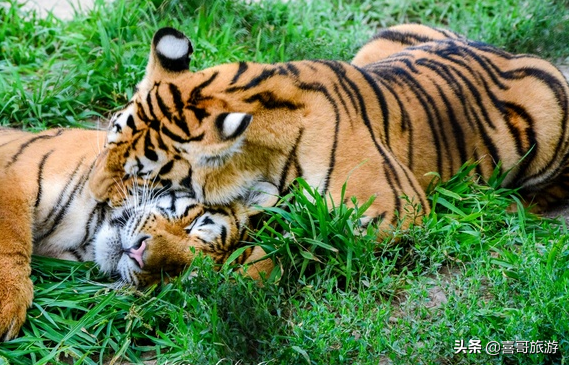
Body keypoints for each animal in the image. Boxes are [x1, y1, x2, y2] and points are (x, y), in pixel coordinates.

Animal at [0, 127, 276, 338]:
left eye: (176, 275)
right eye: (193, 225)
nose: (138, 255)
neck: (90, 230)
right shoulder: (15, 179)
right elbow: (10, 235)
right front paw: (7, 306)